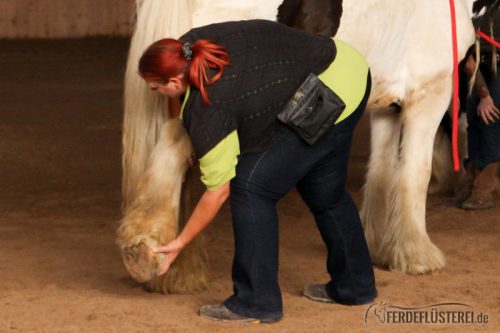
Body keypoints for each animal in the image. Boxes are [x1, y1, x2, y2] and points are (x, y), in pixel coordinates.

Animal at [121, 0, 476, 286]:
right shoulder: (430, 96)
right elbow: (415, 175)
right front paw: (418, 256)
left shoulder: (387, 107)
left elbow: (381, 173)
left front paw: (379, 247)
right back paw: (147, 248)